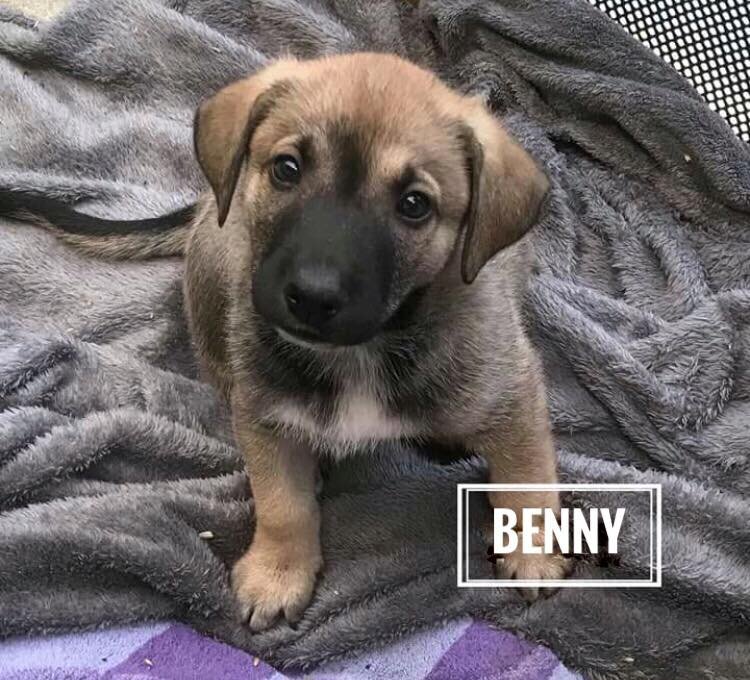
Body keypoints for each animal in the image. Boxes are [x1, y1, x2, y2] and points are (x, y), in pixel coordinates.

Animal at [3, 52, 570, 631]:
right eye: (286, 169)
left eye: (415, 204)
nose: (314, 297)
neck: (358, 353)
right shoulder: (266, 415)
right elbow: (282, 505)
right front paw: (278, 572)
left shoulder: (511, 392)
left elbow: (527, 480)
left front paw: (533, 554)